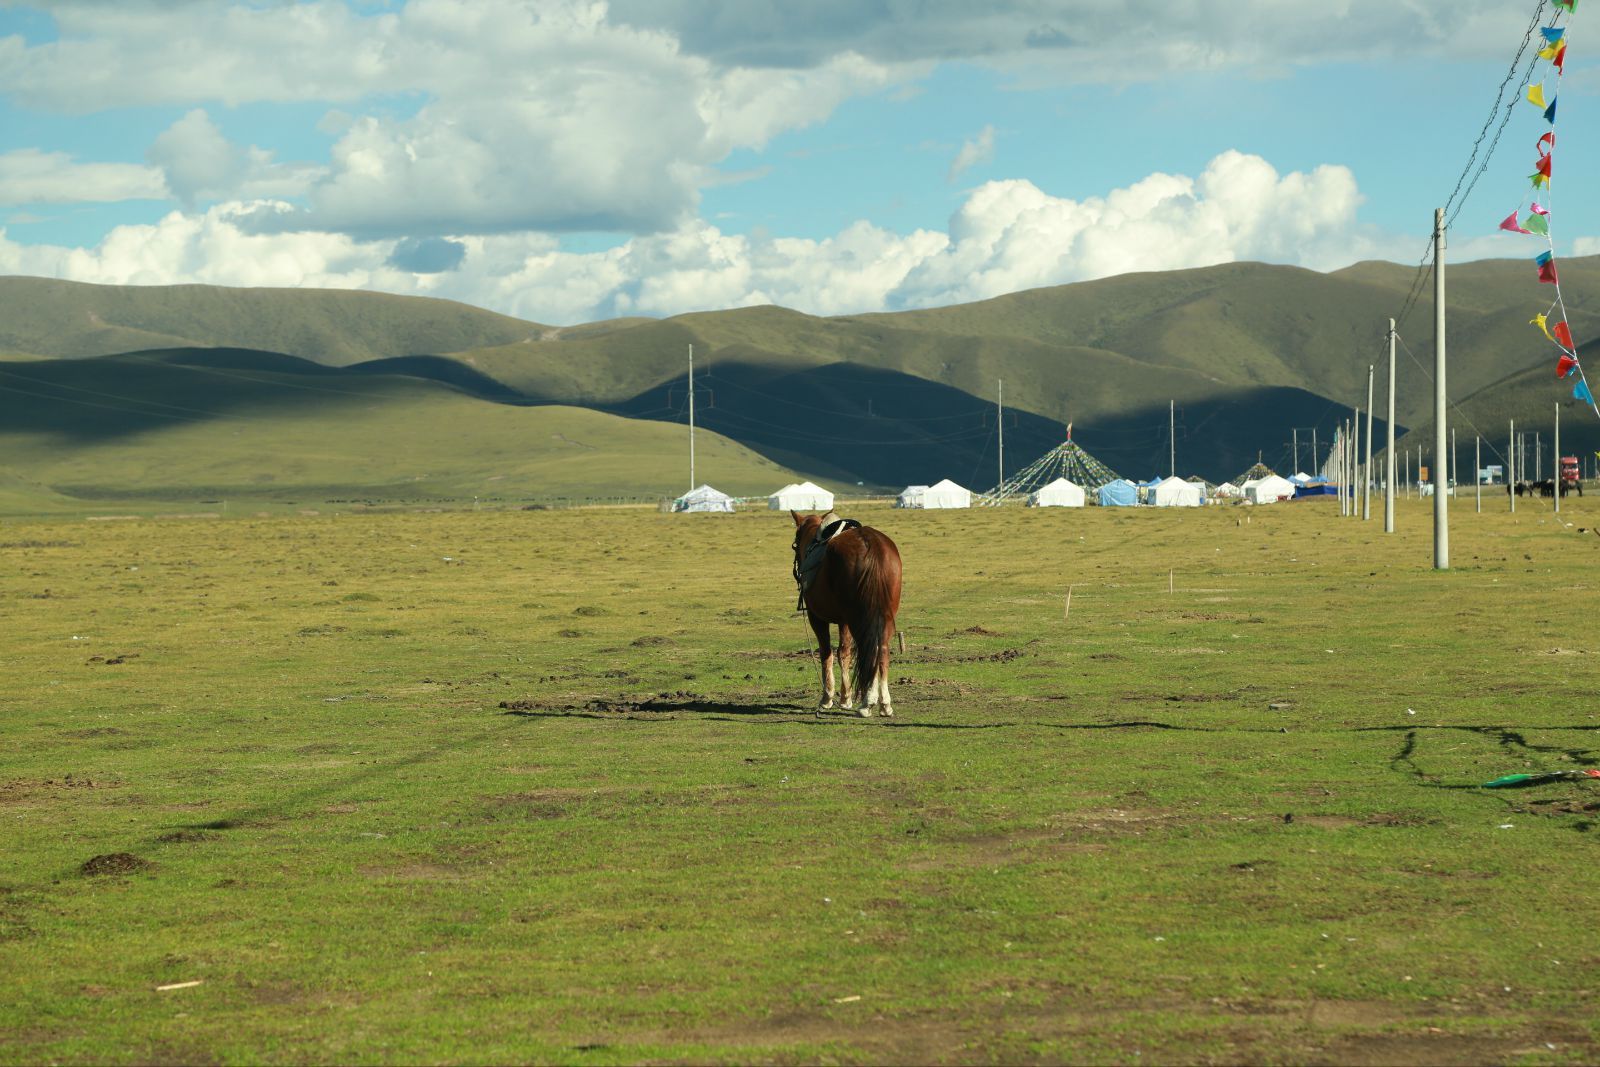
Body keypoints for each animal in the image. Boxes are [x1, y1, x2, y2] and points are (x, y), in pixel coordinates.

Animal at [787, 511, 902, 716]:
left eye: (795, 543)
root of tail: (871, 543)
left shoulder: (818, 618)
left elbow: (828, 653)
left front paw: (829, 698)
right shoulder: (844, 621)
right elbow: (844, 653)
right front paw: (845, 697)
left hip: (858, 618)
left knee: (869, 649)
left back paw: (867, 702)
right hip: (885, 616)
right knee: (882, 649)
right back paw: (885, 703)